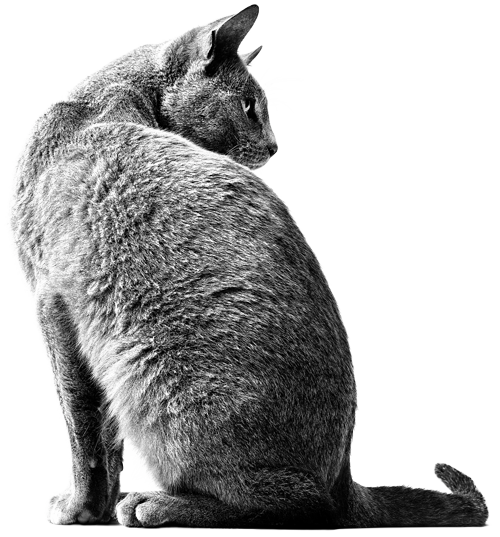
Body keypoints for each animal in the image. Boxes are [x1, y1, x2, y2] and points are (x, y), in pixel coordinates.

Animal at [10, 4, 488, 529]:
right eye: (248, 107)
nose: (275, 145)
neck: (101, 102)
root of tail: (346, 479)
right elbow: (99, 433)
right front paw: (93, 509)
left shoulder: (51, 305)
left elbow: (81, 426)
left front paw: (78, 508)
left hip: (160, 380)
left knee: (300, 503)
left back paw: (153, 504)